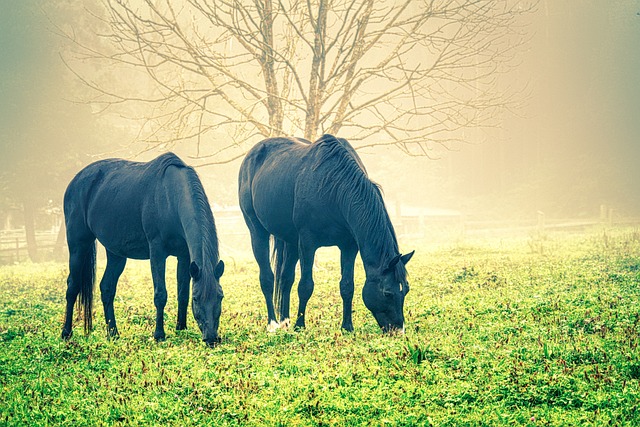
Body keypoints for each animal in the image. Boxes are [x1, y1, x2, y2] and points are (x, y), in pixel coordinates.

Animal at [60, 152, 225, 346]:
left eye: (220, 297)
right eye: (197, 299)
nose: (212, 338)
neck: (169, 197)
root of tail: (76, 181)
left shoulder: (184, 256)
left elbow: (182, 293)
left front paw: (181, 328)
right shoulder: (157, 252)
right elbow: (160, 294)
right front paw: (159, 334)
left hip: (116, 253)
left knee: (107, 288)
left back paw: (113, 333)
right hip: (78, 245)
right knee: (72, 287)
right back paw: (66, 333)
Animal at [240, 135, 416, 332]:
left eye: (406, 289)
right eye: (387, 293)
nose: (398, 330)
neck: (333, 187)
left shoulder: (349, 246)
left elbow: (347, 286)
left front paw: (347, 326)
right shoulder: (307, 243)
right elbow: (305, 286)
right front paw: (300, 325)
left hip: (290, 241)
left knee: (285, 279)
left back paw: (285, 321)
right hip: (257, 232)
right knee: (267, 278)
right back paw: (273, 324)